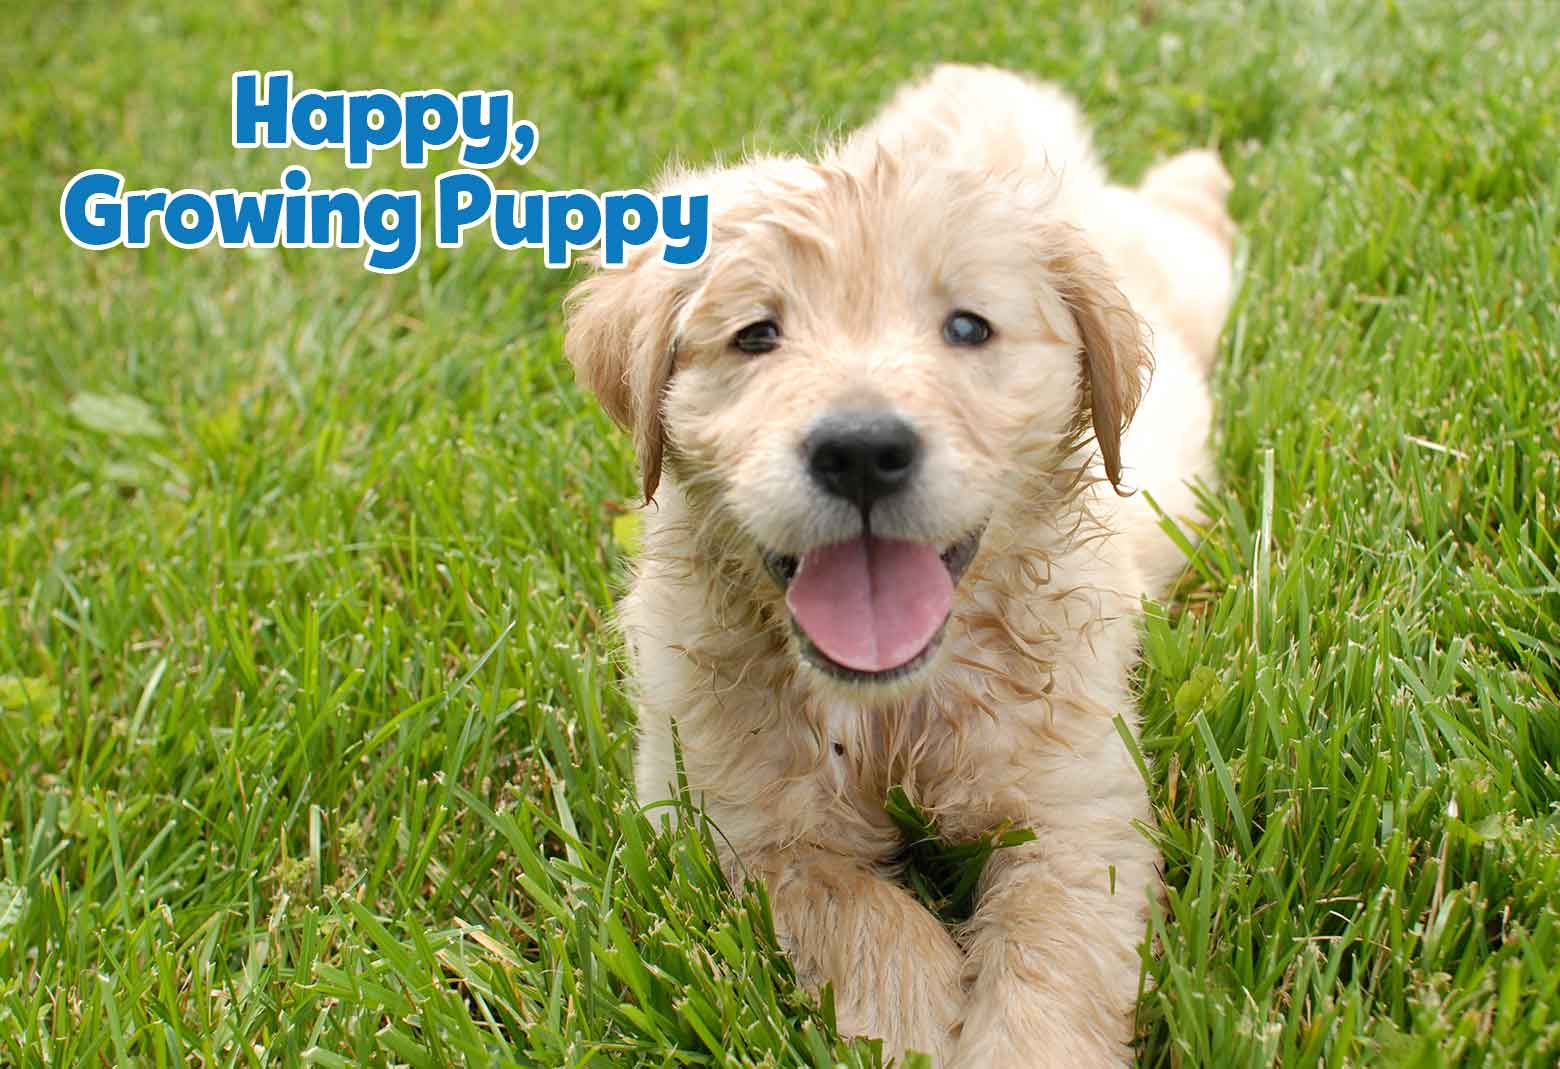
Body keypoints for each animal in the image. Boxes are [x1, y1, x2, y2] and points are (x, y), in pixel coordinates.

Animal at [567, 64, 1235, 1067]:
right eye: (756, 335)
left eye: (967, 327)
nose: (859, 451)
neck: (890, 710)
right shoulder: (725, 818)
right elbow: (856, 909)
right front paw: (912, 1019)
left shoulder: (1081, 805)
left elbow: (1055, 951)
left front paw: (1014, 1042)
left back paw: (1202, 173)